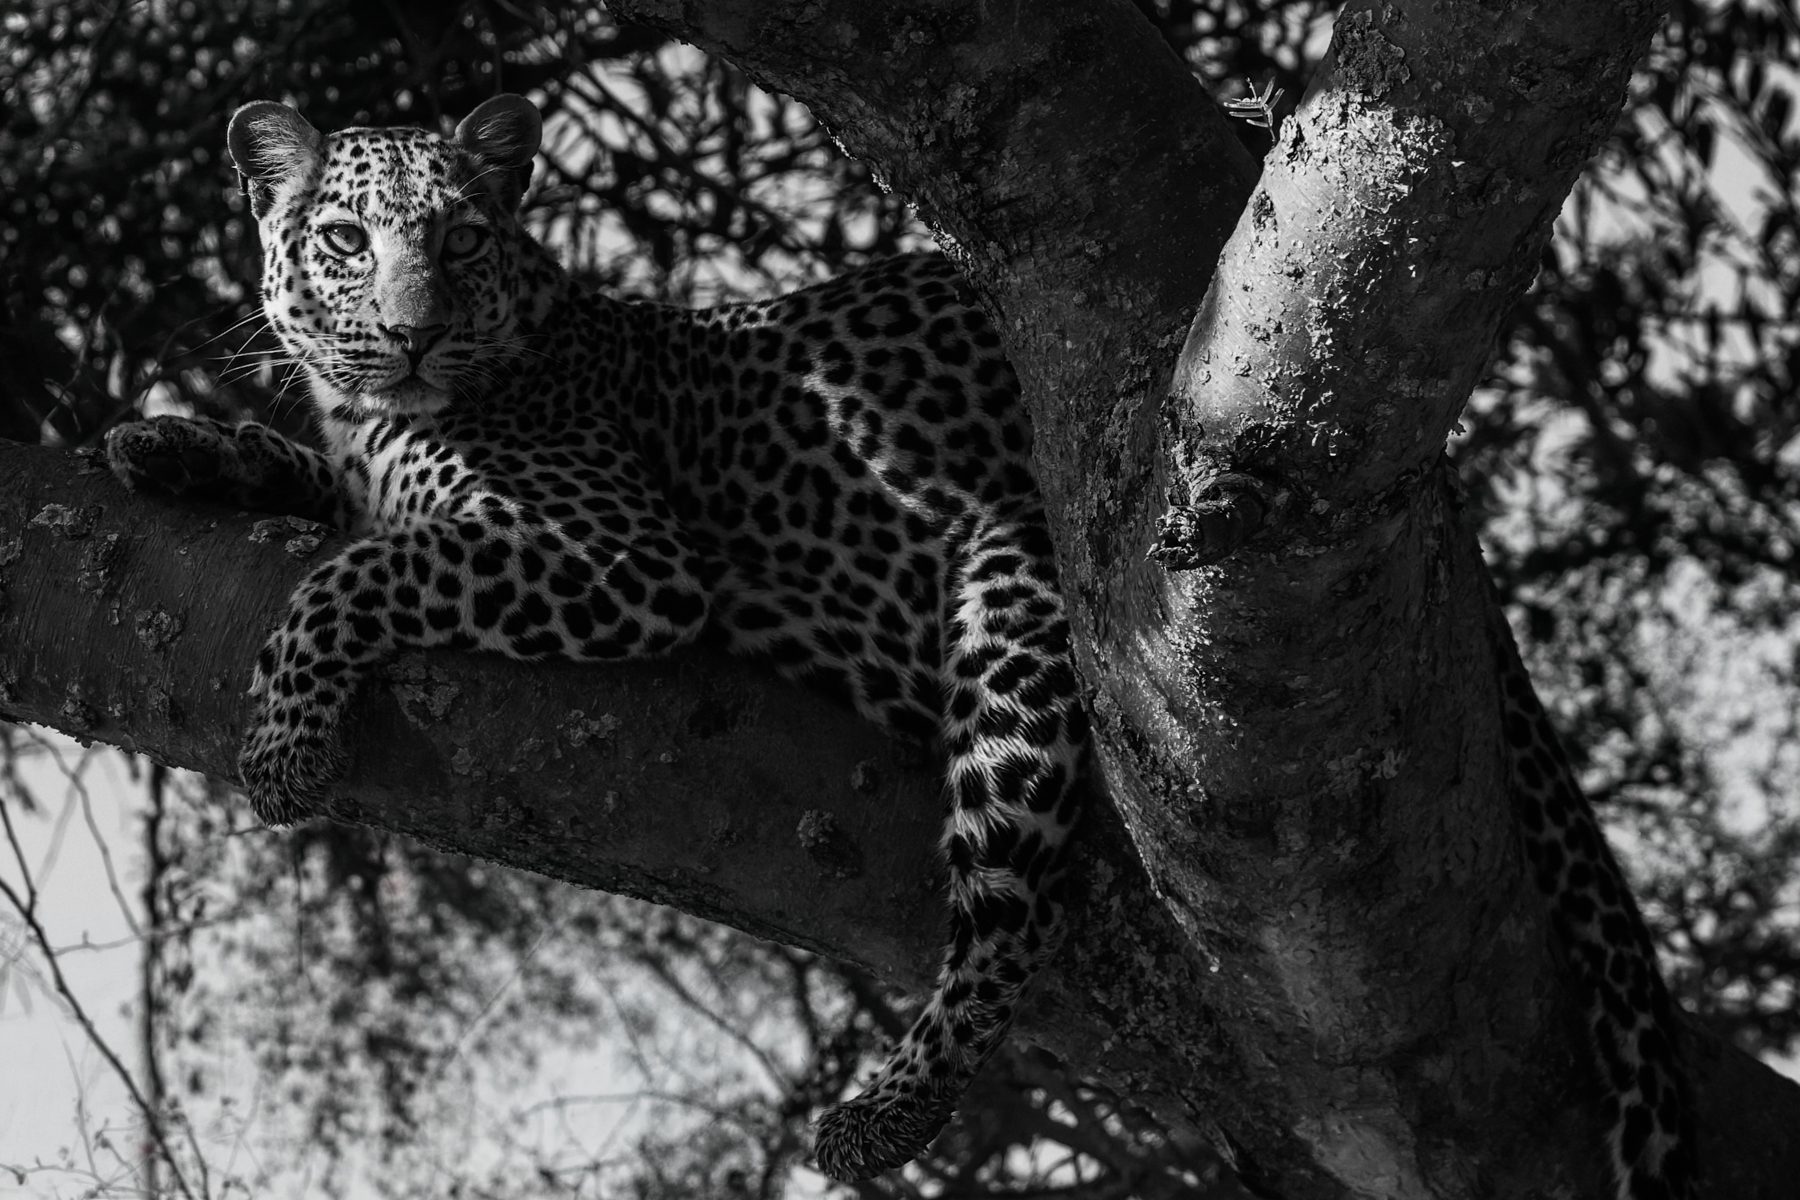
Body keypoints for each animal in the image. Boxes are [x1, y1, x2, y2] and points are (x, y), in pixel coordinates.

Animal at [103, 93, 1086, 1182]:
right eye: (347, 241)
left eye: (462, 240)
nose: (412, 335)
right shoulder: (383, 485)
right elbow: (337, 499)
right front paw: (175, 444)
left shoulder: (623, 556)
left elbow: (355, 570)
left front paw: (283, 748)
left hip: (1017, 563)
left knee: (1018, 904)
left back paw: (887, 1110)